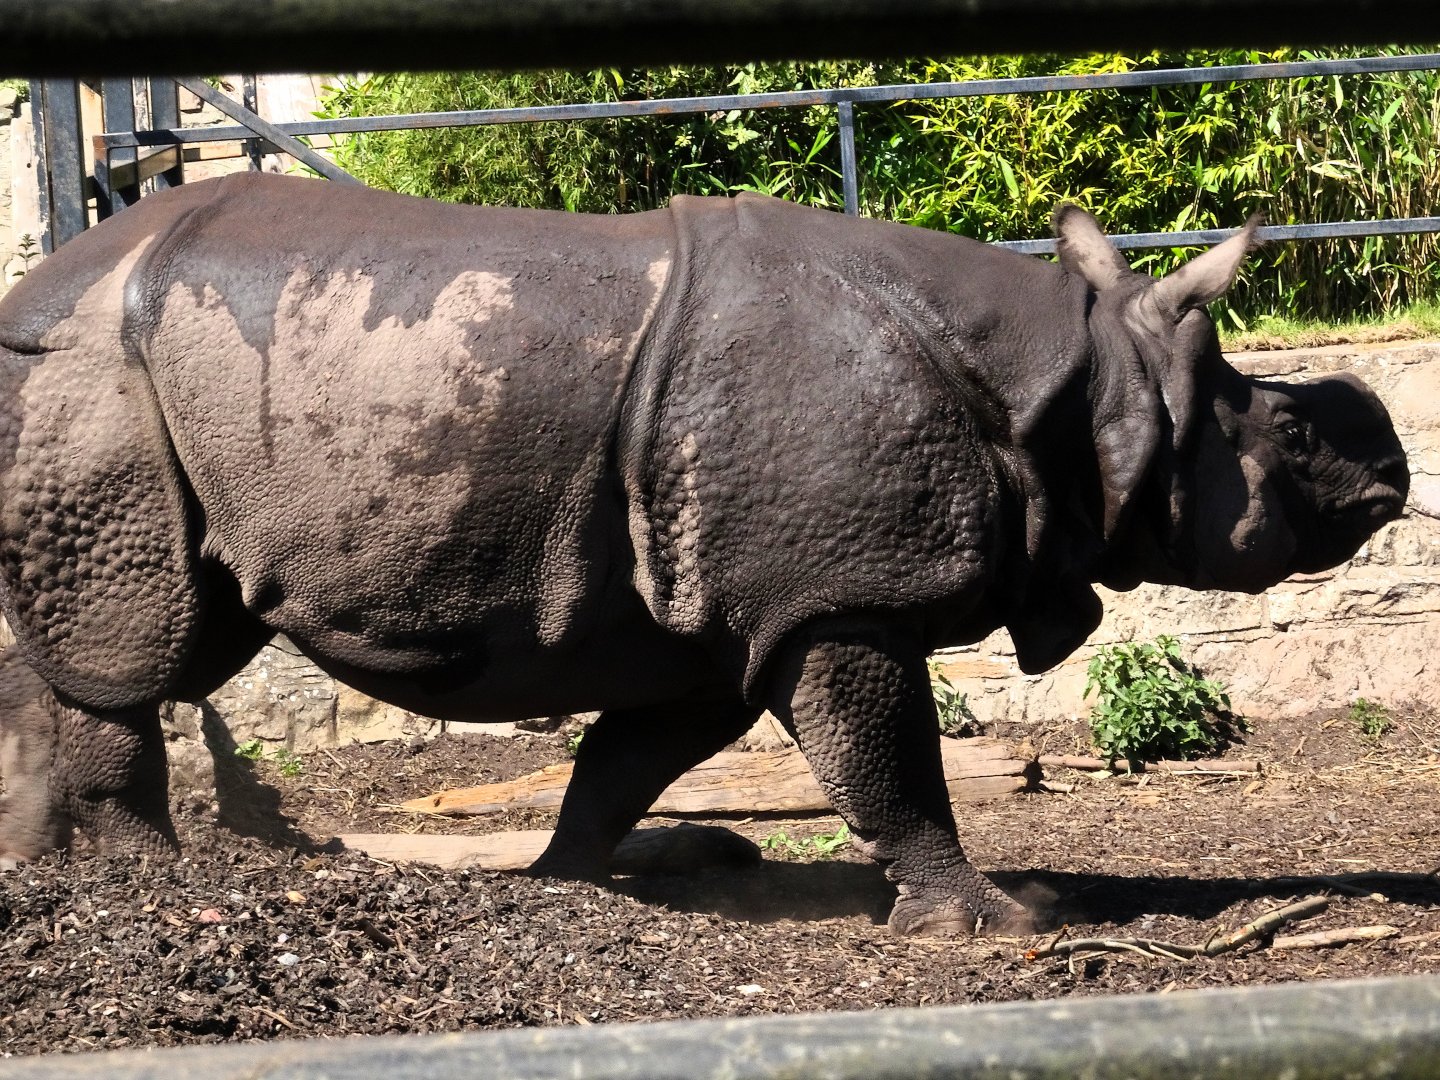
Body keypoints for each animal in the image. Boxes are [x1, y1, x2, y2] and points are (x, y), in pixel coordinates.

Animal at [0, 173, 1407, 936]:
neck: (1090, 388)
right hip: (94, 374)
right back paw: (150, 883)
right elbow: (892, 759)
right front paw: (996, 927)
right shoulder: (838, 595)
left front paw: (570, 882)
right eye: (1289, 435)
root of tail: (33, 285)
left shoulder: (730, 618)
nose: (1393, 466)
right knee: (136, 644)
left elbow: (625, 761)